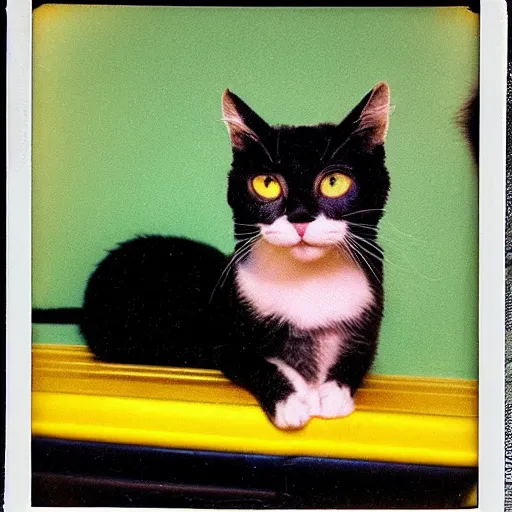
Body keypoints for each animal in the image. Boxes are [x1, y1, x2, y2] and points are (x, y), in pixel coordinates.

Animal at [81, 83, 392, 428]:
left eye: (334, 182)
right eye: (266, 184)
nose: (300, 218)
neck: (307, 279)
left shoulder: (370, 308)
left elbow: (359, 357)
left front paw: (334, 394)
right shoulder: (223, 340)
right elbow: (256, 362)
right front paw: (294, 398)